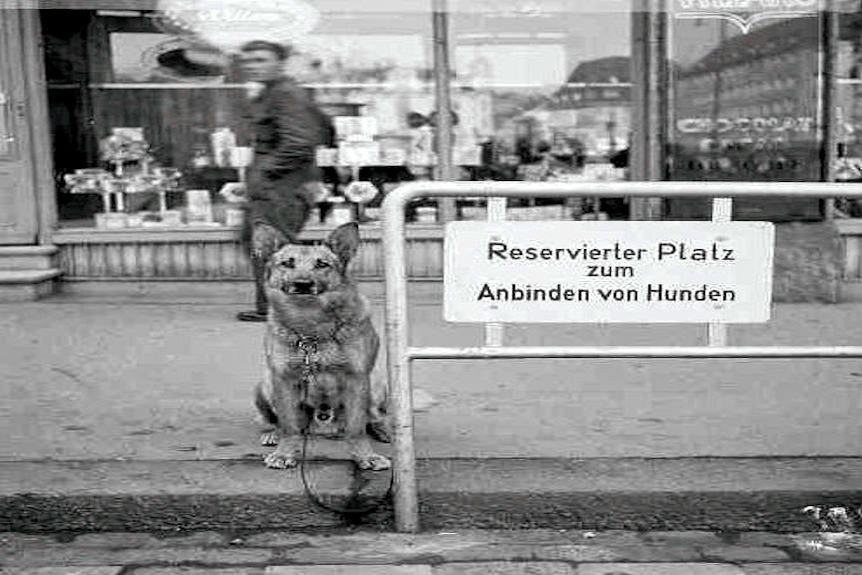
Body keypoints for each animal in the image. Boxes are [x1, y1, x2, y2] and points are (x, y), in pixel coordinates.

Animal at [255, 222, 394, 472]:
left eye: (322, 264)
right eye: (287, 263)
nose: (302, 284)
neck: (311, 329)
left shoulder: (357, 378)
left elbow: (357, 427)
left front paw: (365, 456)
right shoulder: (284, 378)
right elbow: (289, 425)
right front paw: (285, 452)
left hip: (376, 383)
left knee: (374, 417)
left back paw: (383, 430)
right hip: (266, 382)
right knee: (277, 421)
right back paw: (273, 434)